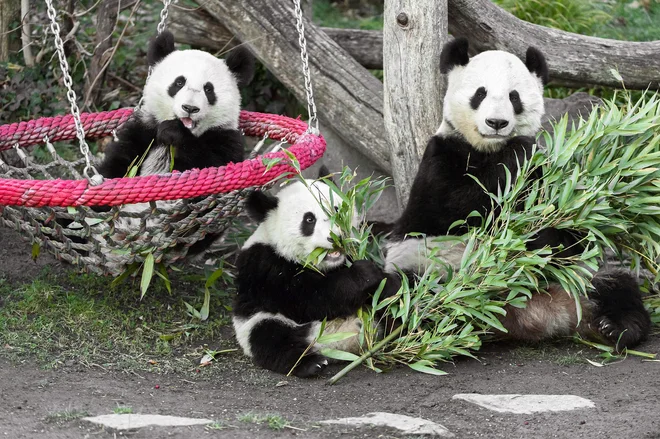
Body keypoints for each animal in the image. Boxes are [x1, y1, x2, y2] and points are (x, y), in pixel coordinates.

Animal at [235, 175, 392, 378]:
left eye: (337, 209)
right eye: (309, 219)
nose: (336, 237)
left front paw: (386, 282)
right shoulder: (267, 267)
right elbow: (310, 300)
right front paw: (364, 274)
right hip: (256, 323)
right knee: (272, 339)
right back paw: (310, 364)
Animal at [386, 37, 648, 352]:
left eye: (514, 97)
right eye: (480, 93)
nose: (496, 123)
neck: (489, 149)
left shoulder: (547, 179)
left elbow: (572, 230)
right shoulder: (441, 155)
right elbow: (453, 205)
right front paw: (518, 151)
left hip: (583, 276)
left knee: (618, 286)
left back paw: (616, 328)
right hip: (426, 266)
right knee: (398, 292)